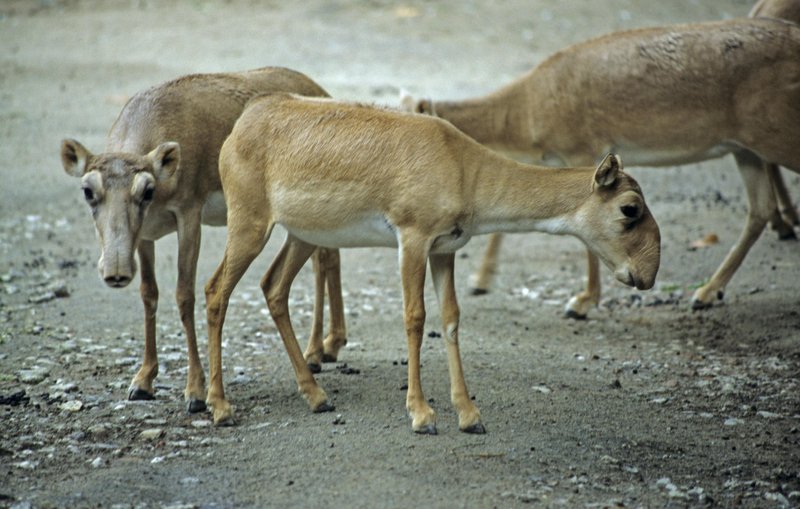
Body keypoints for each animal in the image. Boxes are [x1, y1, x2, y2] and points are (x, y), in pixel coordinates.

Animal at [56, 66, 344, 412]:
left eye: (146, 190)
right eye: (88, 190)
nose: (115, 271)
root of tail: (322, 90)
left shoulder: (189, 217)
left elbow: (184, 294)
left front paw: (195, 391)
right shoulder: (145, 235)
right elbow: (149, 293)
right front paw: (142, 381)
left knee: (325, 258)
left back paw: (319, 351)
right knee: (324, 259)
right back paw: (323, 349)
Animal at [206, 92, 664, 432]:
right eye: (629, 208)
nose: (647, 275)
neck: (463, 167)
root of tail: (242, 123)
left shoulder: (445, 249)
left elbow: (450, 318)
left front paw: (469, 415)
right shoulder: (413, 240)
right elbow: (415, 317)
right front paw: (422, 414)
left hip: (300, 235)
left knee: (273, 287)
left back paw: (317, 396)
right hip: (249, 224)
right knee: (215, 292)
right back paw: (219, 405)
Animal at [404, 17, 800, 318]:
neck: (528, 108)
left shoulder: (583, 152)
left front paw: (582, 302)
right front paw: (482, 280)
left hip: (776, 137)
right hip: (745, 148)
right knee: (759, 209)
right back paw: (707, 292)